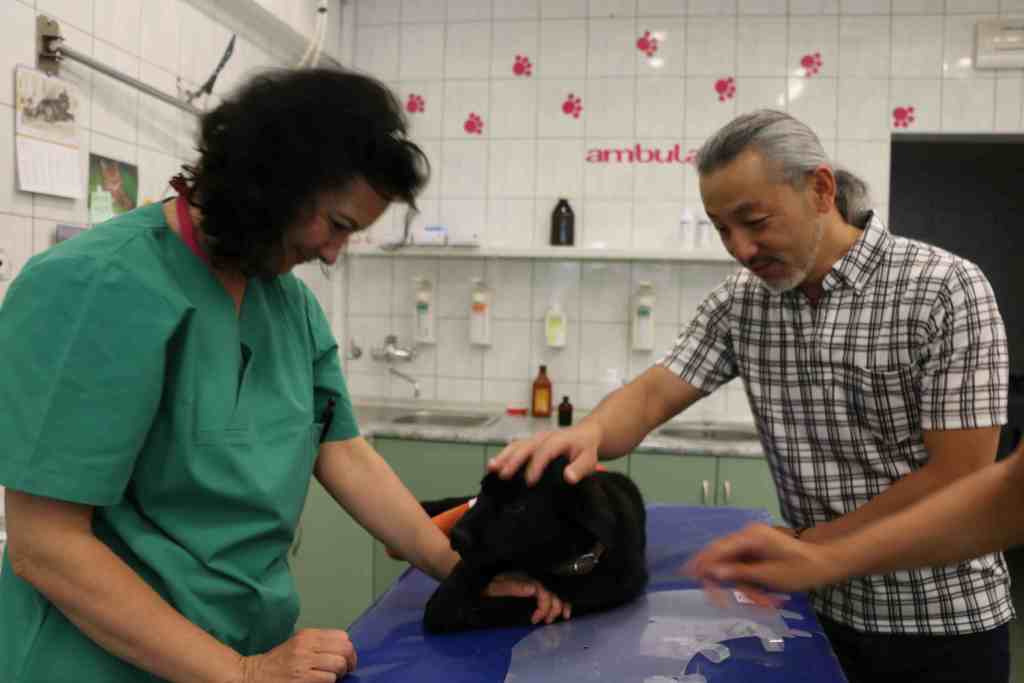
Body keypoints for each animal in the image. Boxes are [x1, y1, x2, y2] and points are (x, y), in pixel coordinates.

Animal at [421, 456, 648, 633]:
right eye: (483, 490)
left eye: (517, 507)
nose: (456, 536)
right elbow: (462, 576)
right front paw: (448, 599)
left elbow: (507, 606)